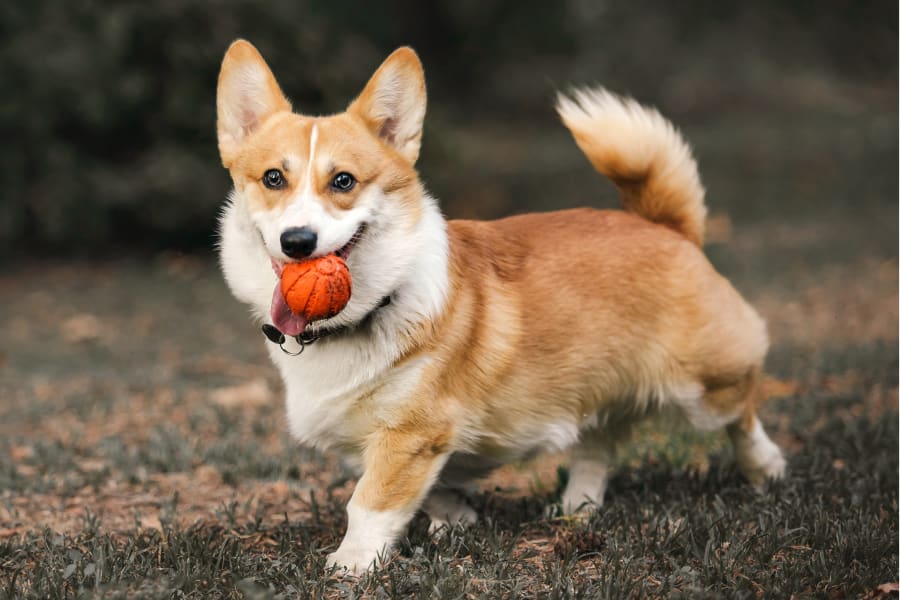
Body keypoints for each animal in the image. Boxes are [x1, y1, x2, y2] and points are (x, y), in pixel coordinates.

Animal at [214, 39, 784, 576]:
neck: (367, 310)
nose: (297, 242)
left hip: (704, 386)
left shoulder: (411, 434)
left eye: (344, 181)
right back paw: (577, 506)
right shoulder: (394, 441)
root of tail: (667, 226)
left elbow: (370, 502)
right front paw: (457, 519)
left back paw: (767, 467)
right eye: (272, 178)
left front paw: (350, 565)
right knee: (599, 441)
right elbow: (425, 486)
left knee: (741, 411)